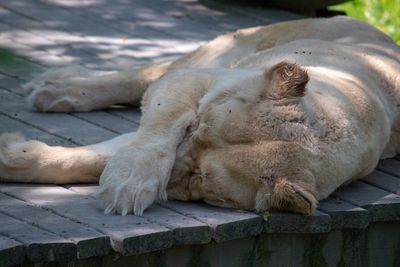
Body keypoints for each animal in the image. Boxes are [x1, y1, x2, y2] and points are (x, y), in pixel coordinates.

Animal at [0, 16, 400, 217]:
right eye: (194, 128)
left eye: (198, 178)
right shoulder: (197, 82)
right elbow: (152, 135)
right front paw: (129, 183)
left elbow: (92, 158)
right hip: (220, 51)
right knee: (145, 74)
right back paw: (55, 88)